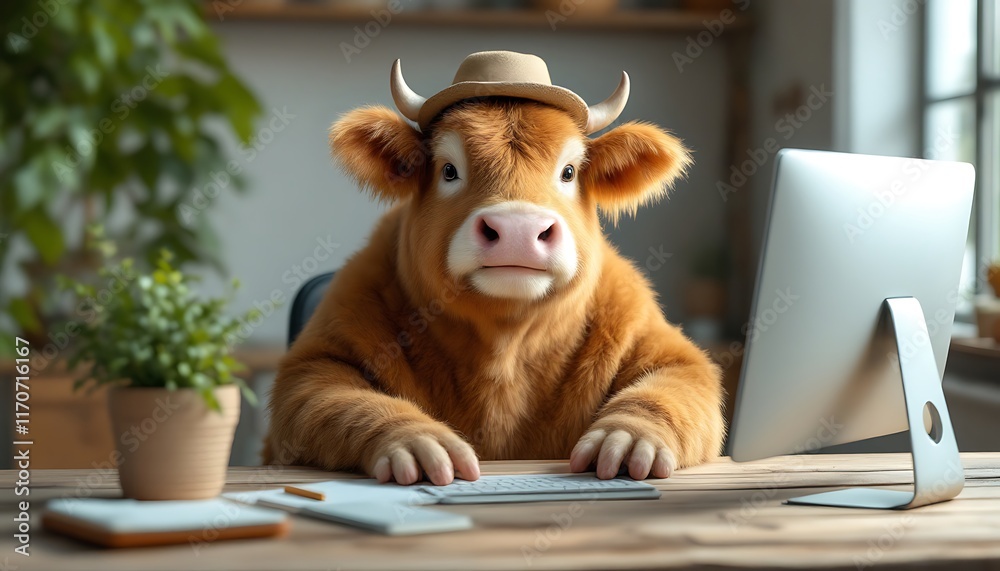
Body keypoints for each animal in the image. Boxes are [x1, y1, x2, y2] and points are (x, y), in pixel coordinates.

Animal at [264, 51, 725, 486]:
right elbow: (336, 399)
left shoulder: (655, 342)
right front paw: (416, 439)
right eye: (449, 170)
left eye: (569, 172)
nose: (518, 229)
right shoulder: (319, 358)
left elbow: (674, 383)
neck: (505, 345)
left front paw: (628, 437)